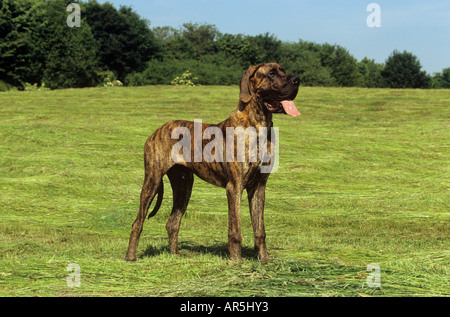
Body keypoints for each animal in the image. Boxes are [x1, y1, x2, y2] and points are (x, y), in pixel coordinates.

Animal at [125, 61, 300, 262]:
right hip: (152, 181)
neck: (258, 124)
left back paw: (175, 256)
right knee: (137, 222)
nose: (297, 80)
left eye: (283, 70)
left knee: (172, 222)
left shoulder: (259, 187)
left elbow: (260, 229)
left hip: (184, 186)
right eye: (271, 73)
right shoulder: (234, 187)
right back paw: (131, 257)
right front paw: (236, 262)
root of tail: (157, 129)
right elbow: (235, 229)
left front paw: (264, 261)